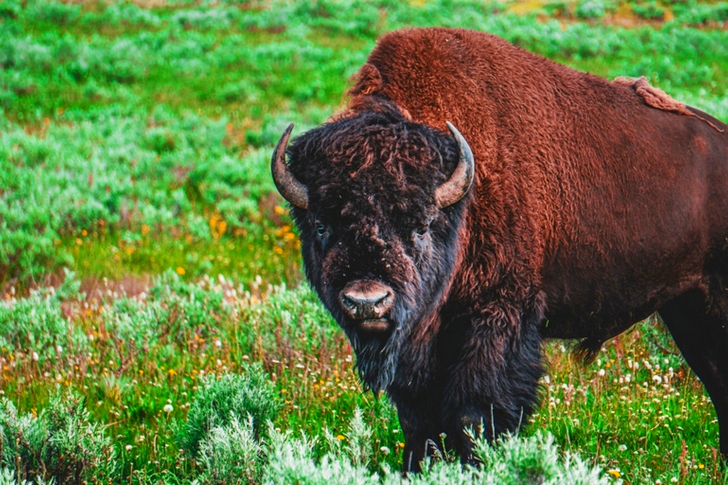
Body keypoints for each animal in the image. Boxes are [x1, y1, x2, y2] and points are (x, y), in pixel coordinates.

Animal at [271, 27, 728, 470]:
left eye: (420, 225)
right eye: (321, 225)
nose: (367, 302)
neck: (462, 202)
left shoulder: (496, 317)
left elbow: (474, 415)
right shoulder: (419, 349)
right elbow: (419, 421)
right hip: (685, 309)